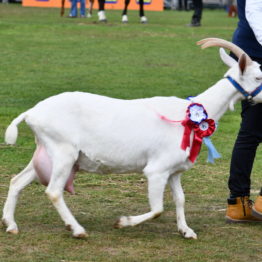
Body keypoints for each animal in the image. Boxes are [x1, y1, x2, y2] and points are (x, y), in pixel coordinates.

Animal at [2, 39, 262, 239]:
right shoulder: (156, 170)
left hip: (46, 153)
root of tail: (32, 112)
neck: (191, 114)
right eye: (258, 77)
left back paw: (11, 224)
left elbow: (180, 199)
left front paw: (186, 231)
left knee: (17, 181)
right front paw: (123, 222)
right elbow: (157, 209)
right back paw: (76, 229)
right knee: (54, 191)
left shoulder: (174, 171)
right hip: (63, 152)